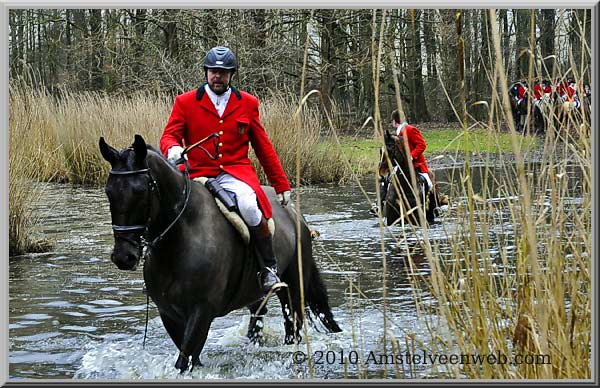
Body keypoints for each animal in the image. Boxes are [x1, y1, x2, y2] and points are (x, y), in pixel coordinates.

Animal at [101, 134, 340, 372]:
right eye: (108, 191)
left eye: (140, 191)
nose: (123, 257)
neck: (179, 240)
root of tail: (293, 212)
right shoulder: (169, 314)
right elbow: (190, 358)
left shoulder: (202, 311)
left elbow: (184, 360)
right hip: (255, 293)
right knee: (257, 320)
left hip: (294, 287)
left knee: (293, 326)